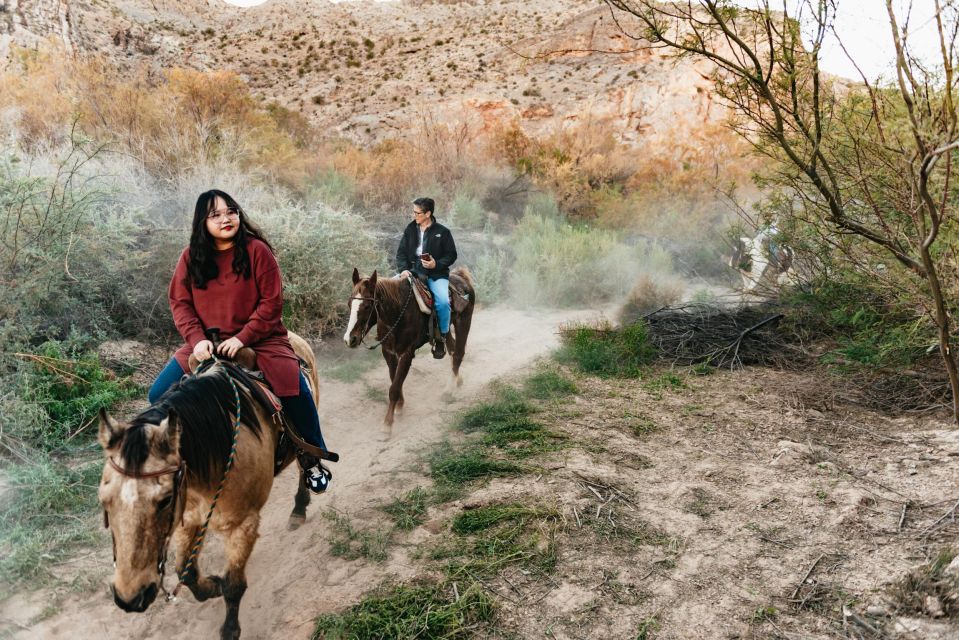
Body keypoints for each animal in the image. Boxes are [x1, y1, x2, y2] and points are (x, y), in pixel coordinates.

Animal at [97, 332, 330, 636]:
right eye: (105, 501)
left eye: (165, 500)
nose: (130, 597)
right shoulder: (190, 518)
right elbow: (186, 571)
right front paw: (212, 586)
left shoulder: (242, 525)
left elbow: (234, 585)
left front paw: (229, 626)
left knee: (305, 466)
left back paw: (299, 508)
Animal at [346, 264, 478, 430]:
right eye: (349, 304)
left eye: (367, 306)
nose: (350, 339)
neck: (397, 313)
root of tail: (461, 277)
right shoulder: (388, 352)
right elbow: (394, 379)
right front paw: (400, 406)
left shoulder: (407, 354)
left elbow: (394, 388)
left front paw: (387, 425)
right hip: (446, 328)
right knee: (452, 349)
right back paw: (457, 380)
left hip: (463, 322)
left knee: (459, 353)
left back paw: (449, 389)